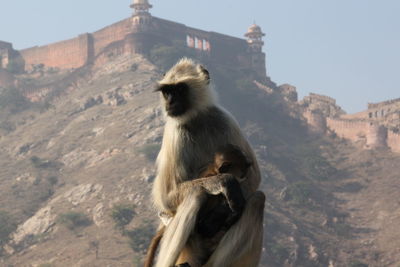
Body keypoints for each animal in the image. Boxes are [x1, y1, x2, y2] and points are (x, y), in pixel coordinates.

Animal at [153, 58, 266, 267]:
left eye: (180, 89)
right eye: (167, 91)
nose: (170, 102)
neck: (195, 119)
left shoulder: (223, 118)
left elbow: (254, 177)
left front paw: (220, 212)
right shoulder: (174, 133)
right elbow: (166, 197)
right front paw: (223, 181)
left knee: (257, 200)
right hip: (190, 244)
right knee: (195, 193)